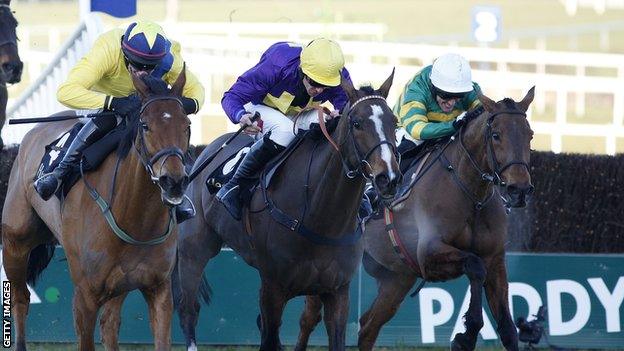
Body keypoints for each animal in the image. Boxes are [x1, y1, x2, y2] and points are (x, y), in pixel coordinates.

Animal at [1, 72, 190, 351]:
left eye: (187, 125)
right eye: (145, 125)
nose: (173, 181)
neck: (136, 221)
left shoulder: (158, 288)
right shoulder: (85, 296)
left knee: (109, 323)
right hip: (16, 242)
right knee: (20, 298)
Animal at [173, 72, 402, 351]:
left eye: (395, 122)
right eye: (357, 123)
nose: (388, 178)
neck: (321, 217)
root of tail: (203, 150)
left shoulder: (337, 291)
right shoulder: (273, 288)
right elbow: (270, 336)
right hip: (194, 249)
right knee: (188, 309)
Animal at [296, 86, 536, 350]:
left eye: (530, 135)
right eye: (496, 135)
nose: (519, 189)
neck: (472, 195)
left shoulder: (495, 259)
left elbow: (507, 328)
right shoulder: (428, 255)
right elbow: (474, 265)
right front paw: (467, 333)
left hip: (397, 277)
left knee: (368, 326)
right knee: (309, 319)